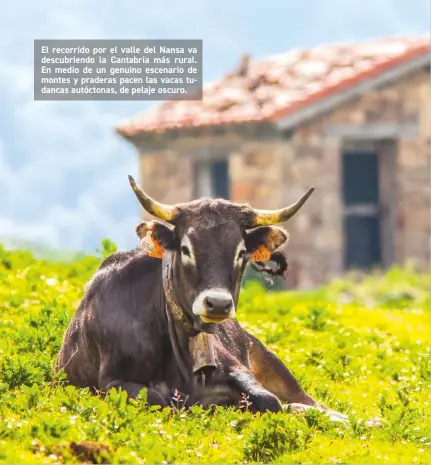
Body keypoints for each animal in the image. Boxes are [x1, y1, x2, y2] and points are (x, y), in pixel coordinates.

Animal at [56, 175, 348, 420]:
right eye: (186, 248)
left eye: (241, 252)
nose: (217, 303)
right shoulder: (111, 380)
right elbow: (156, 398)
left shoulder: (237, 369)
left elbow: (269, 400)